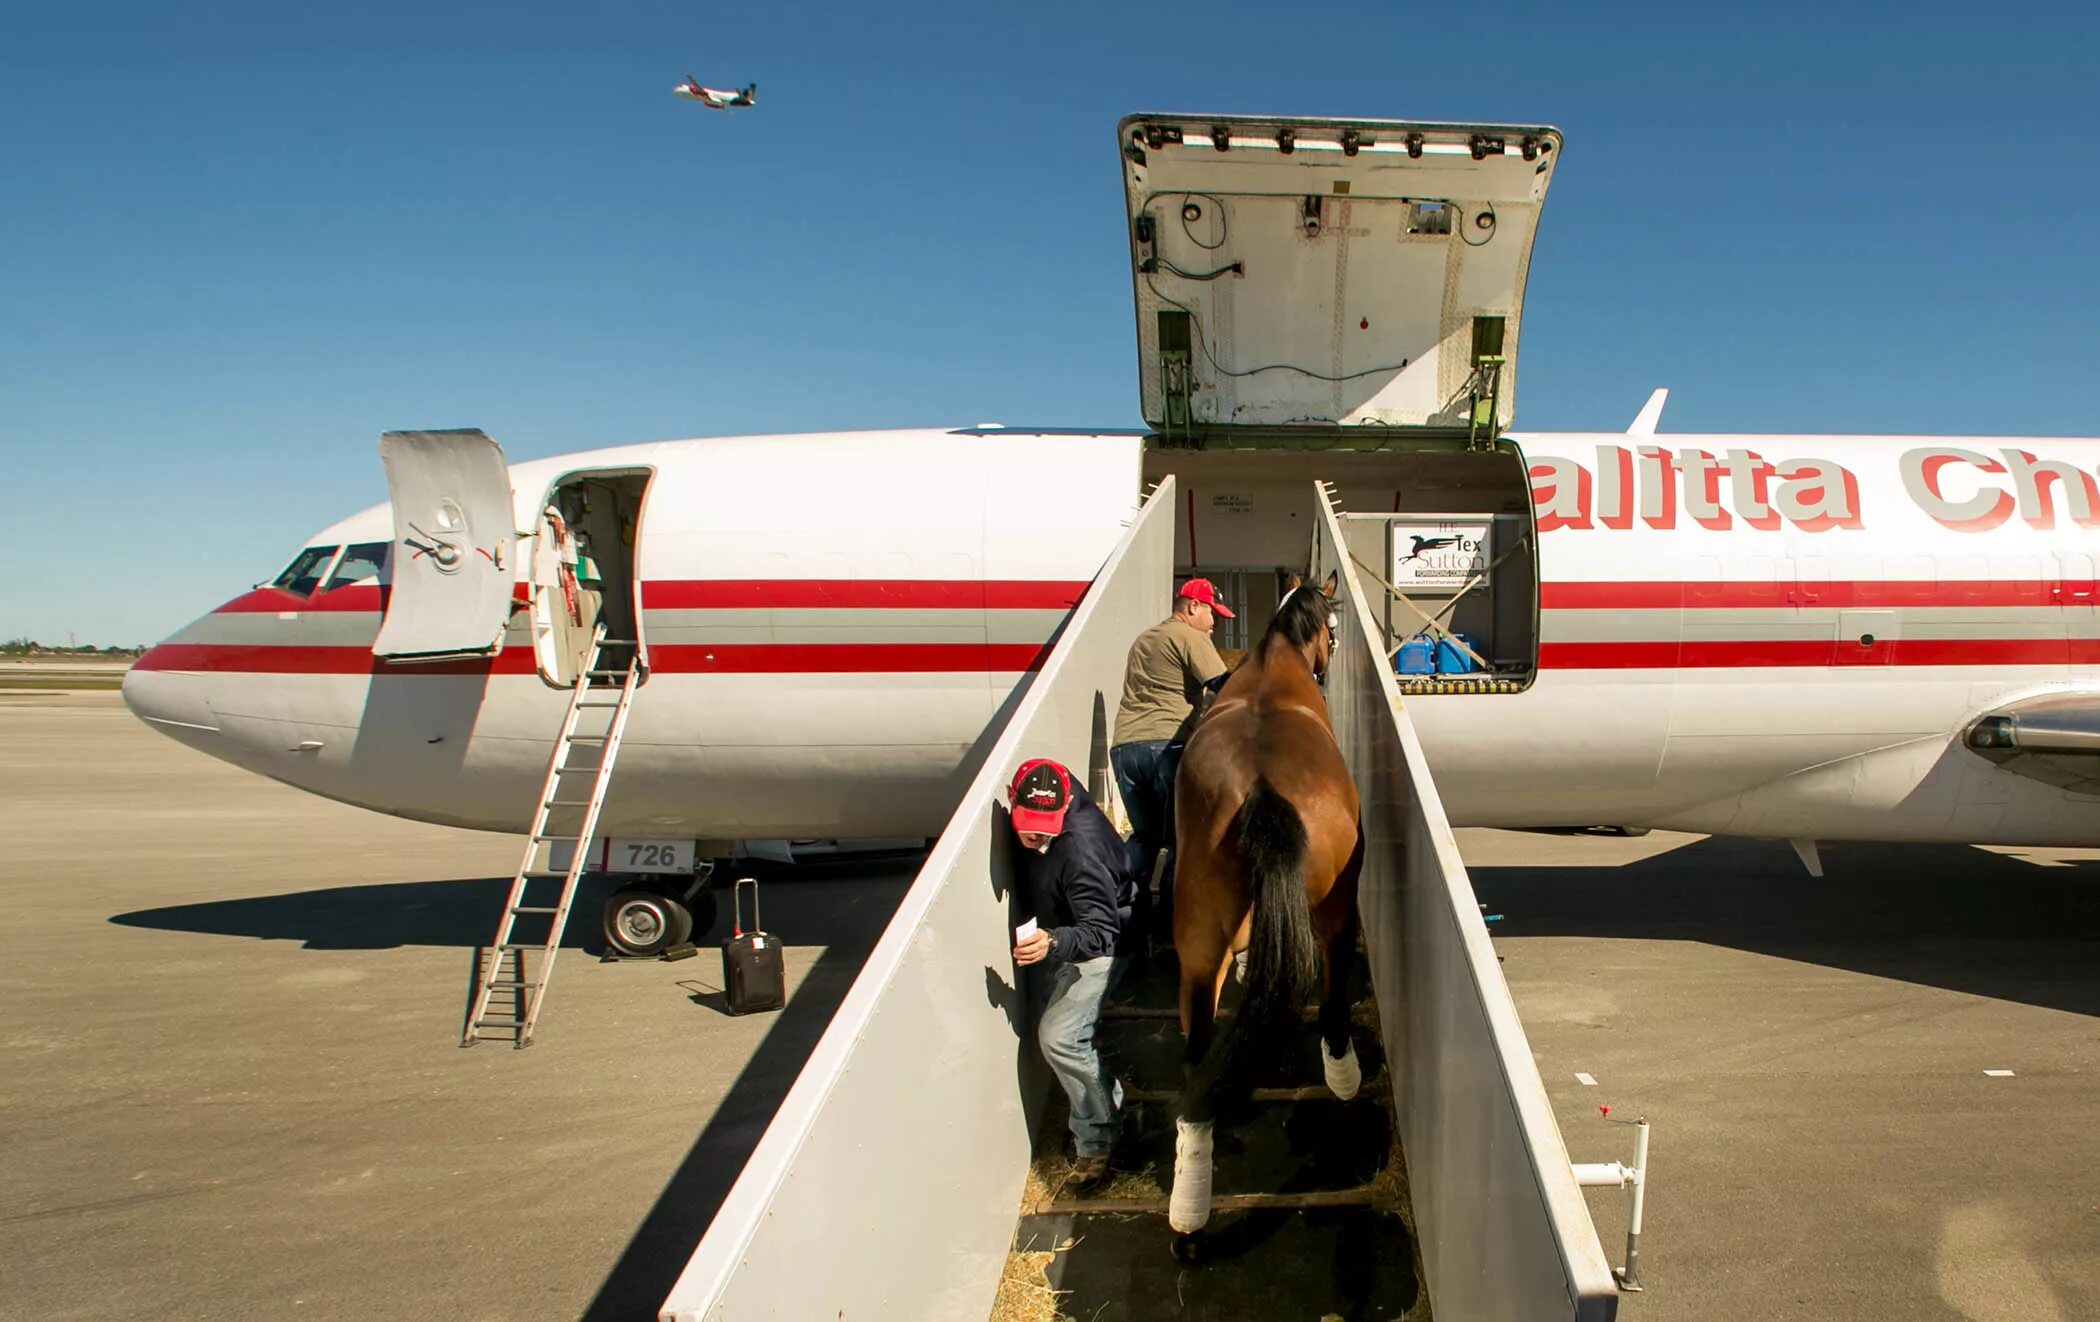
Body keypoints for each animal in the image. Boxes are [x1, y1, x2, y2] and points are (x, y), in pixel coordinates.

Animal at [1167, 570, 1360, 1250]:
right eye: (1332, 623)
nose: (1328, 658)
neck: (1274, 669)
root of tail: (1261, 785)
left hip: (1199, 939)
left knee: (1197, 1053)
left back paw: (1190, 1207)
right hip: (1336, 902)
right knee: (1333, 978)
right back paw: (1342, 1073)